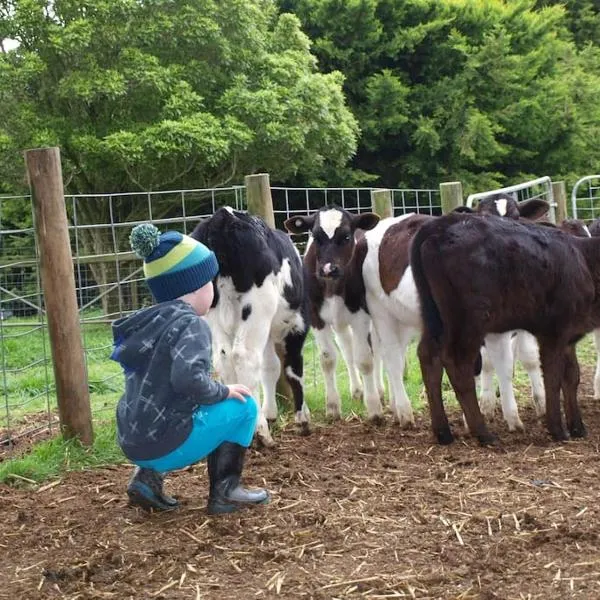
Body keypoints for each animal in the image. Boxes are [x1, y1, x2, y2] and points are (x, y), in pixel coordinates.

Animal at [192, 206, 310, 446]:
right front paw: (302, 418)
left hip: (213, 310)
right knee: (244, 358)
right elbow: (294, 369)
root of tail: (223, 215)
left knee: (224, 358)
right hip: (257, 308)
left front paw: (271, 413)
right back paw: (260, 431)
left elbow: (270, 367)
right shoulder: (298, 326)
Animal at [410, 213, 596, 442]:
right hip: (469, 320)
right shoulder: (553, 333)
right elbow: (553, 378)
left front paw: (577, 427)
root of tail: (439, 224)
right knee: (458, 363)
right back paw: (483, 433)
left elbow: (572, 377)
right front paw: (558, 430)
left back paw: (443, 432)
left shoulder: (569, 337)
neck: (585, 261)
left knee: (429, 355)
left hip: (434, 315)